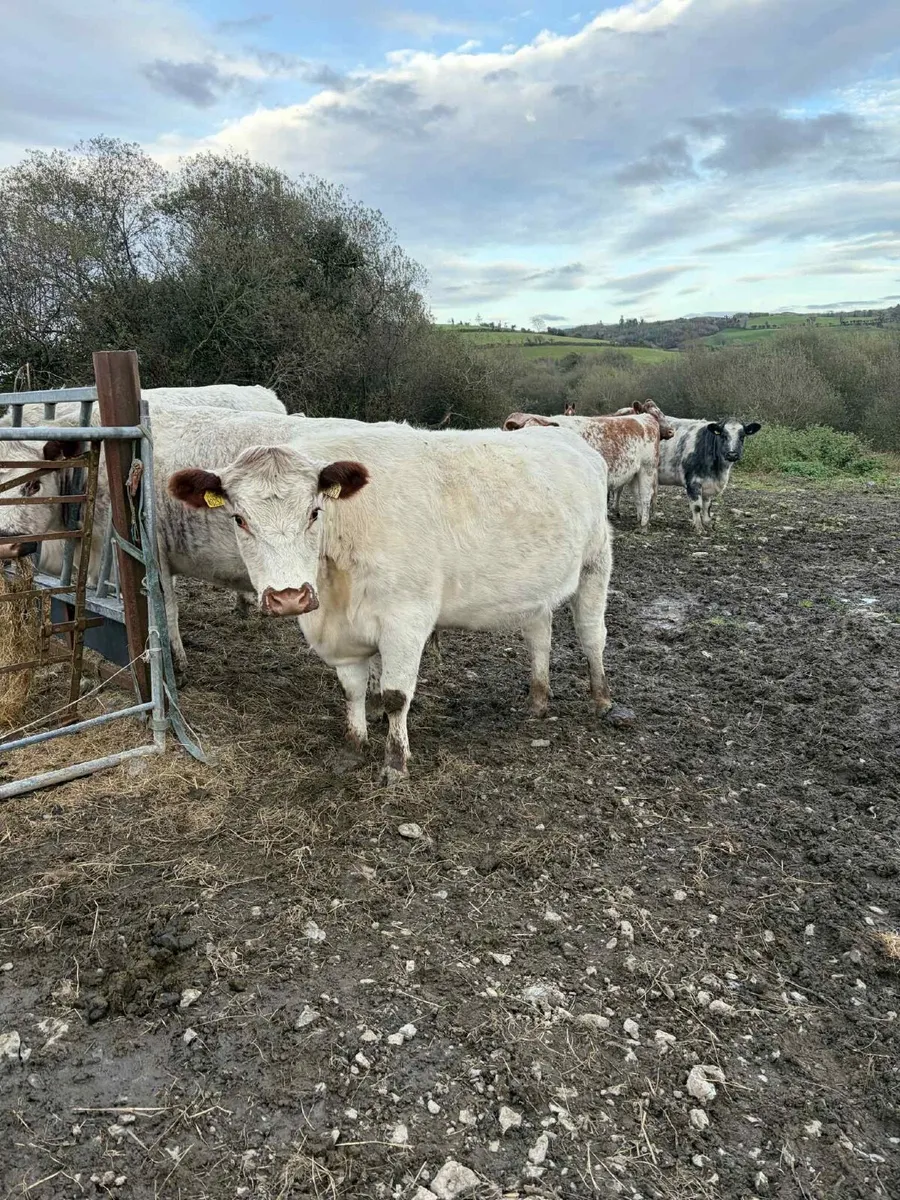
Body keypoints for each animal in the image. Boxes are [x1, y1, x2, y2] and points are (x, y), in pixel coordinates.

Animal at [168, 423, 633, 783]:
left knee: (592, 635)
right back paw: (537, 700)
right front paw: (354, 748)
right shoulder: (342, 634)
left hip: (596, 562)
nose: (288, 597)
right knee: (540, 637)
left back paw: (602, 699)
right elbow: (352, 690)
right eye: (239, 519)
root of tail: (565, 436)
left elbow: (394, 695)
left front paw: (395, 764)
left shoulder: (406, 619)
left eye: (314, 512)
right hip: (535, 592)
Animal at [503, 410, 671, 528]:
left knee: (646, 496)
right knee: (638, 497)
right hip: (635, 474)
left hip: (647, 468)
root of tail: (644, 417)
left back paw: (643, 525)